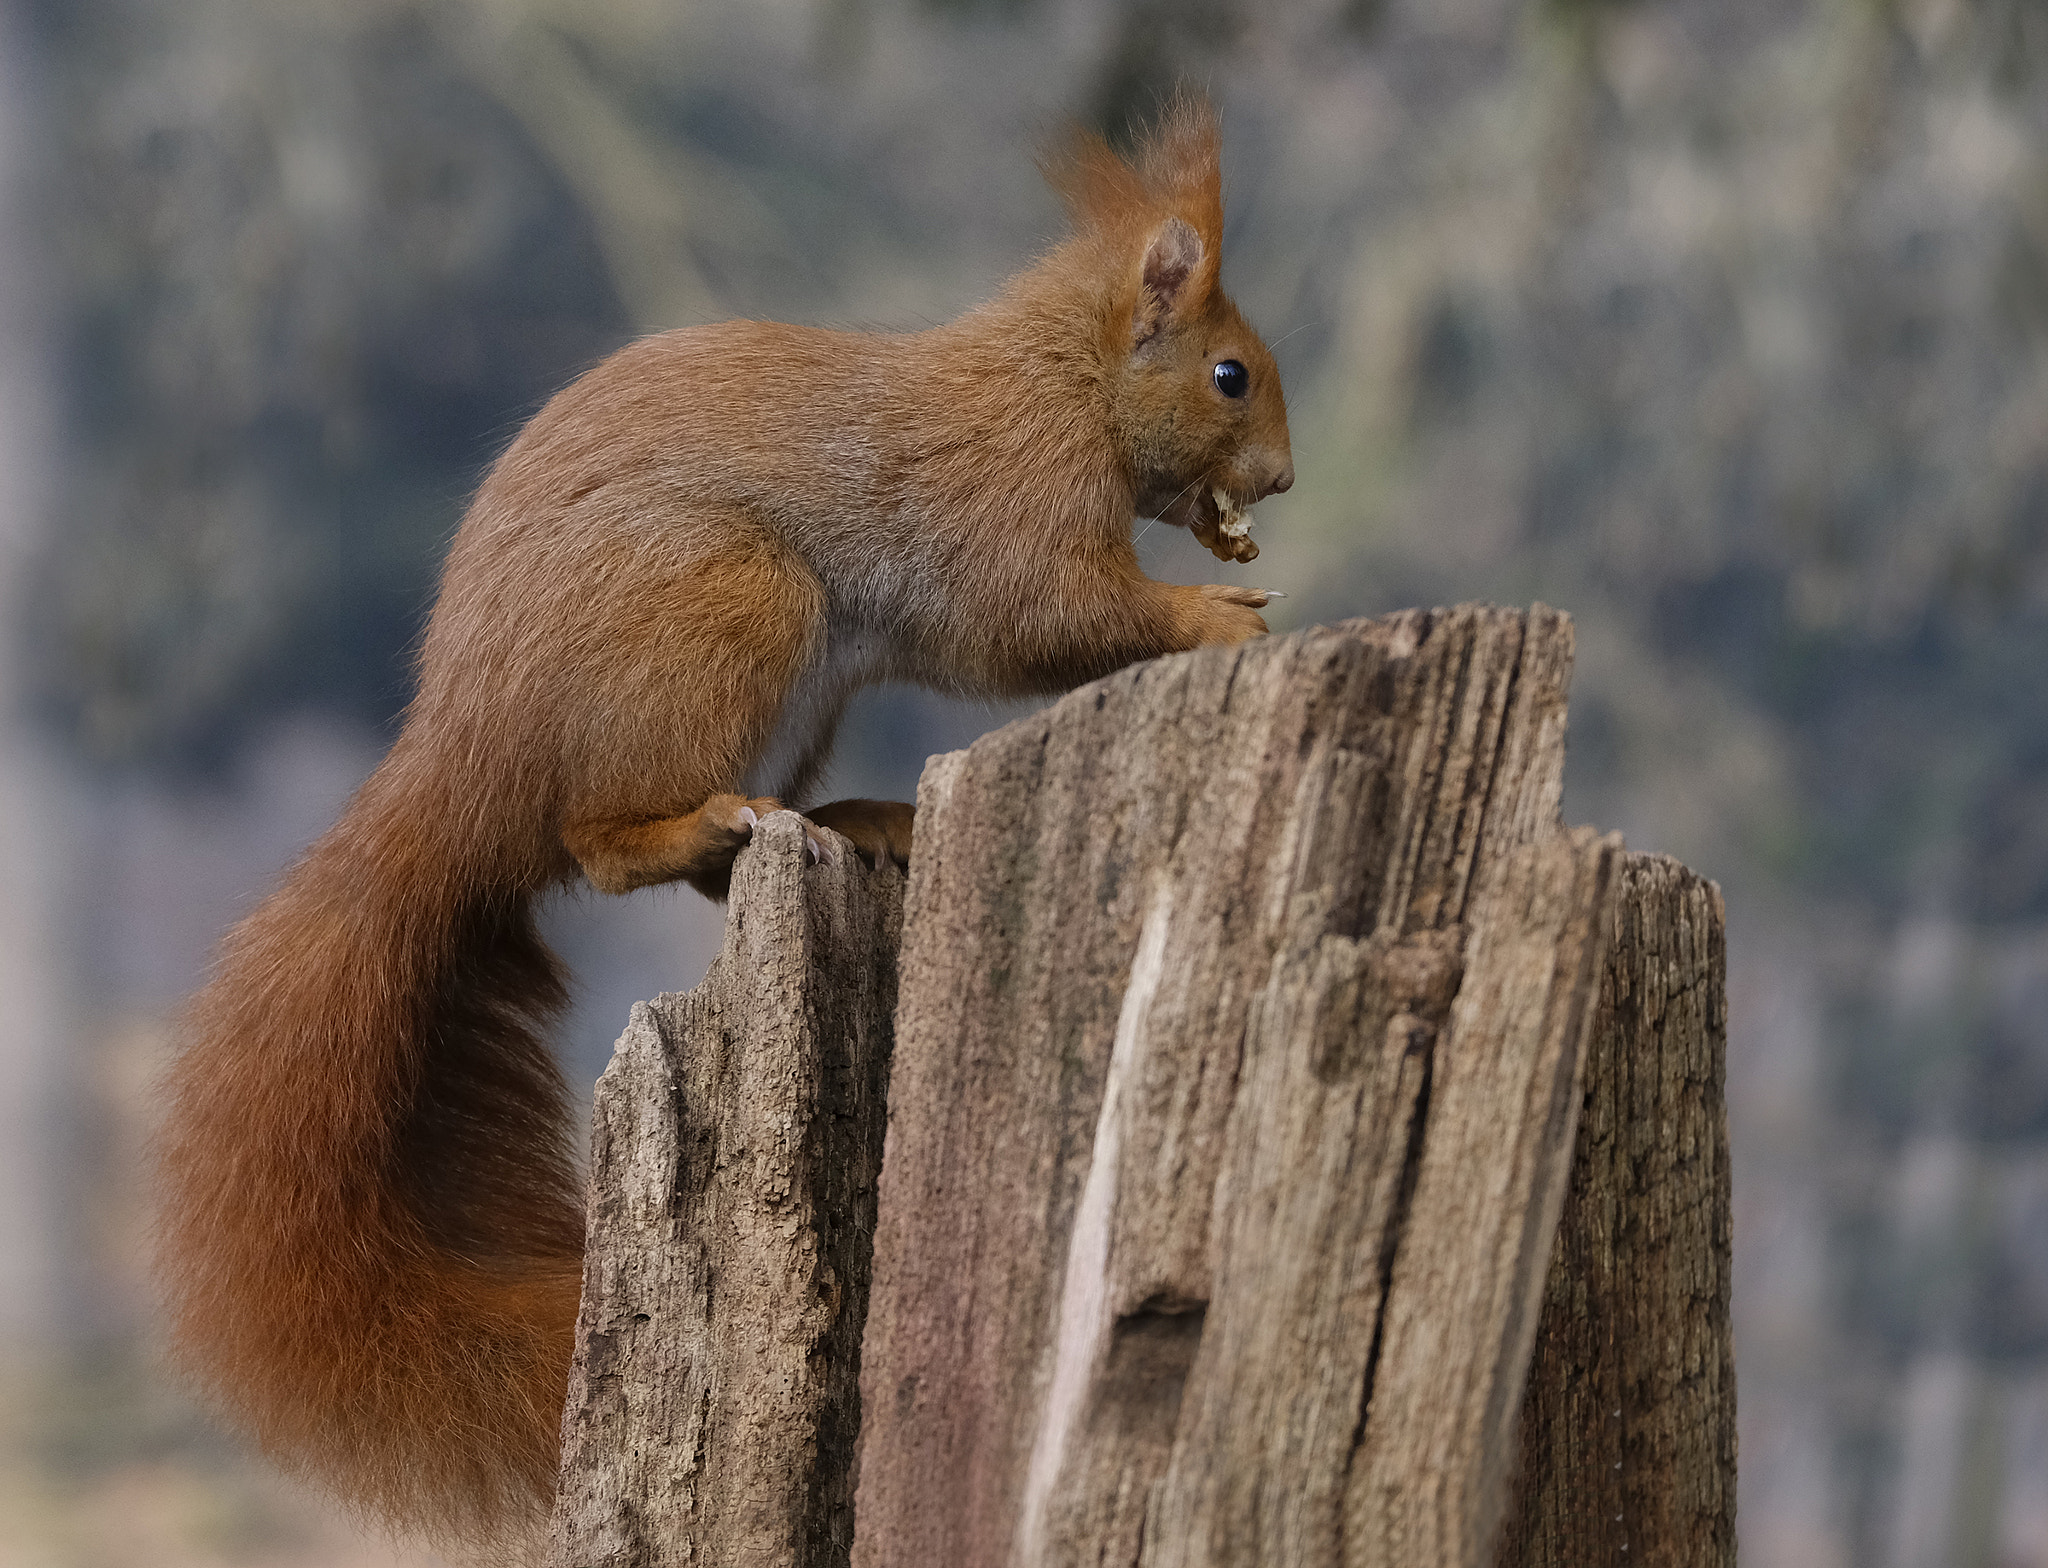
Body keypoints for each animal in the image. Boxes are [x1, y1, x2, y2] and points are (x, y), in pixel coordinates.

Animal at [151, 98, 1294, 1547]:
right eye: (1229, 376)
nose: (1280, 482)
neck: (1064, 380)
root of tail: (471, 747)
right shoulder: (1011, 506)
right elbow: (1048, 617)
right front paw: (1210, 616)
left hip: (795, 687)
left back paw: (854, 818)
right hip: (729, 609)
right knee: (597, 844)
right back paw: (707, 826)